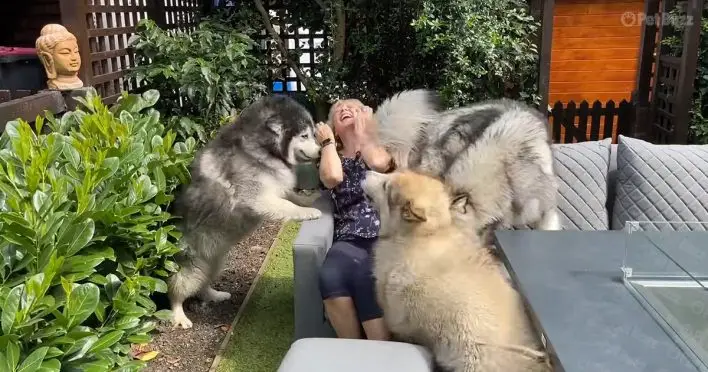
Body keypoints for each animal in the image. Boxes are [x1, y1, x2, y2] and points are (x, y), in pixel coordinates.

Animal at [167, 95, 322, 328]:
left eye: (313, 134)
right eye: (304, 135)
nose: (321, 151)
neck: (264, 148)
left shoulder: (275, 189)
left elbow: (292, 197)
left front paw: (310, 199)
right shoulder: (256, 198)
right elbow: (288, 205)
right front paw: (309, 211)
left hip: (214, 261)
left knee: (203, 285)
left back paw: (214, 295)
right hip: (191, 267)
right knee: (177, 291)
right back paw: (179, 316)